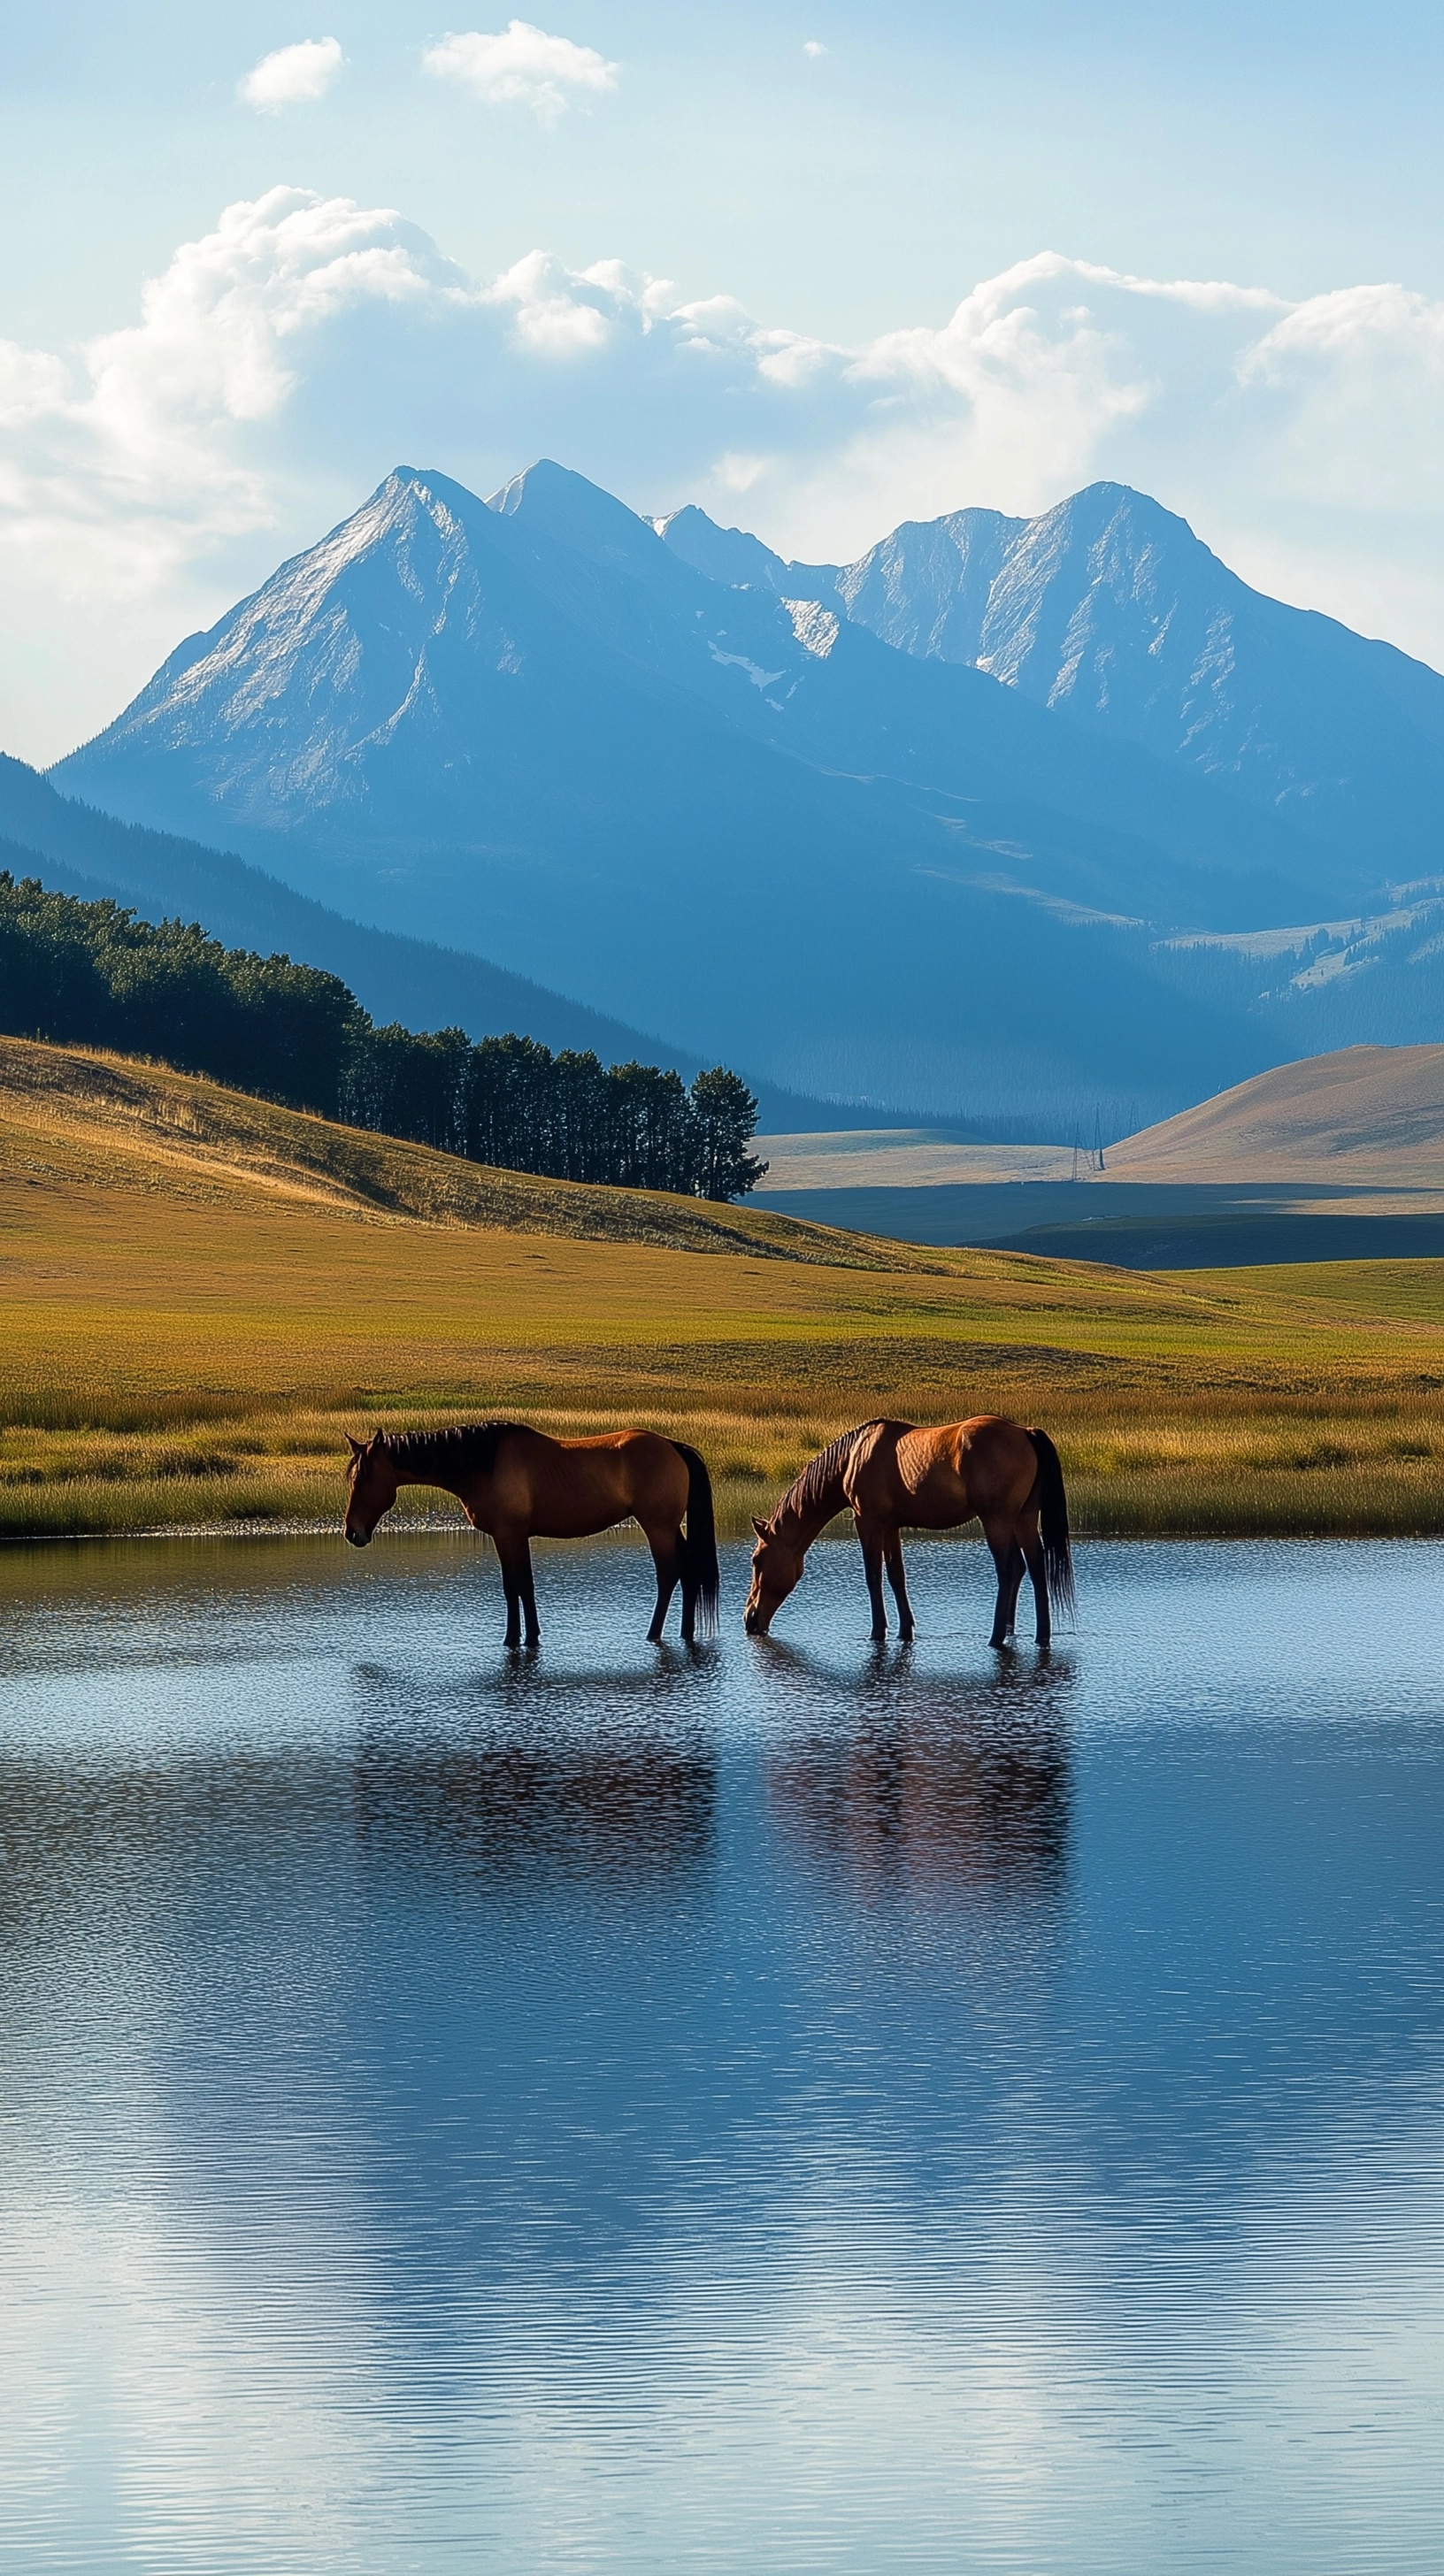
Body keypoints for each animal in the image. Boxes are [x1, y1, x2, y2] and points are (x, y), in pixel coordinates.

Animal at [342, 1432, 717, 1648]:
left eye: (362, 1479)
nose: (351, 1532)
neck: (484, 1463)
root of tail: (673, 1447)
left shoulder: (509, 1535)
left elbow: (516, 1586)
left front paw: (514, 1639)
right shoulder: (511, 1537)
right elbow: (521, 1584)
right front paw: (528, 1635)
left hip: (657, 1527)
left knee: (669, 1575)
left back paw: (654, 1634)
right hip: (670, 1528)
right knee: (689, 1573)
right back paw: (685, 1632)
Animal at [742, 1422, 1072, 1638]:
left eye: (757, 1561)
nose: (750, 1620)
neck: (853, 1458)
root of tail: (1025, 1432)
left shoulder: (868, 1521)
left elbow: (873, 1576)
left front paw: (878, 1631)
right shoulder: (891, 1526)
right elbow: (896, 1576)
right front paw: (904, 1630)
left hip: (997, 1520)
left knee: (1009, 1570)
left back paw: (996, 1636)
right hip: (1023, 1519)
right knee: (1035, 1567)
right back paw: (1040, 1634)